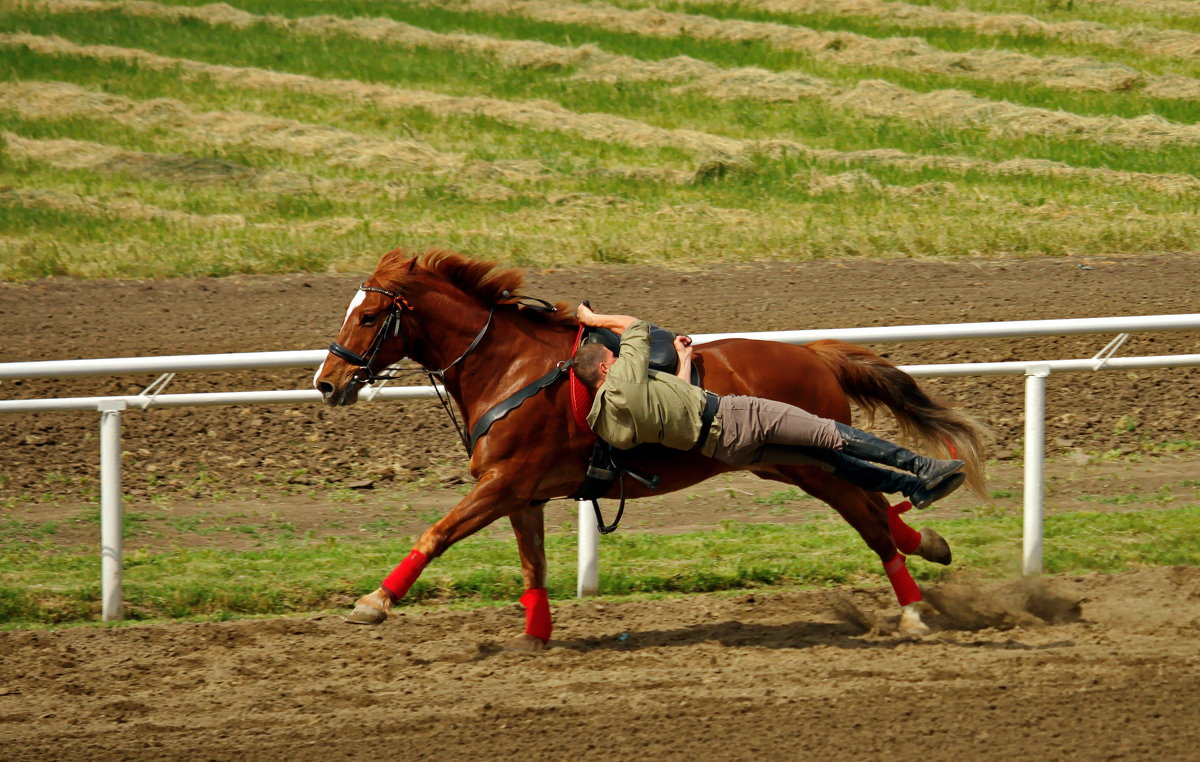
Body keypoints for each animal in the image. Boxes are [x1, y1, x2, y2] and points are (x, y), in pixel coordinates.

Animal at [316, 250, 984, 648]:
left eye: (369, 316)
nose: (327, 381)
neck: (511, 368)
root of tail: (814, 355)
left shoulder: (503, 482)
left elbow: (437, 533)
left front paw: (375, 601)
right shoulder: (522, 494)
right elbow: (533, 565)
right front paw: (536, 633)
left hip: (801, 458)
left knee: (870, 520)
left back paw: (916, 602)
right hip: (783, 461)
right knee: (874, 506)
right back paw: (928, 537)